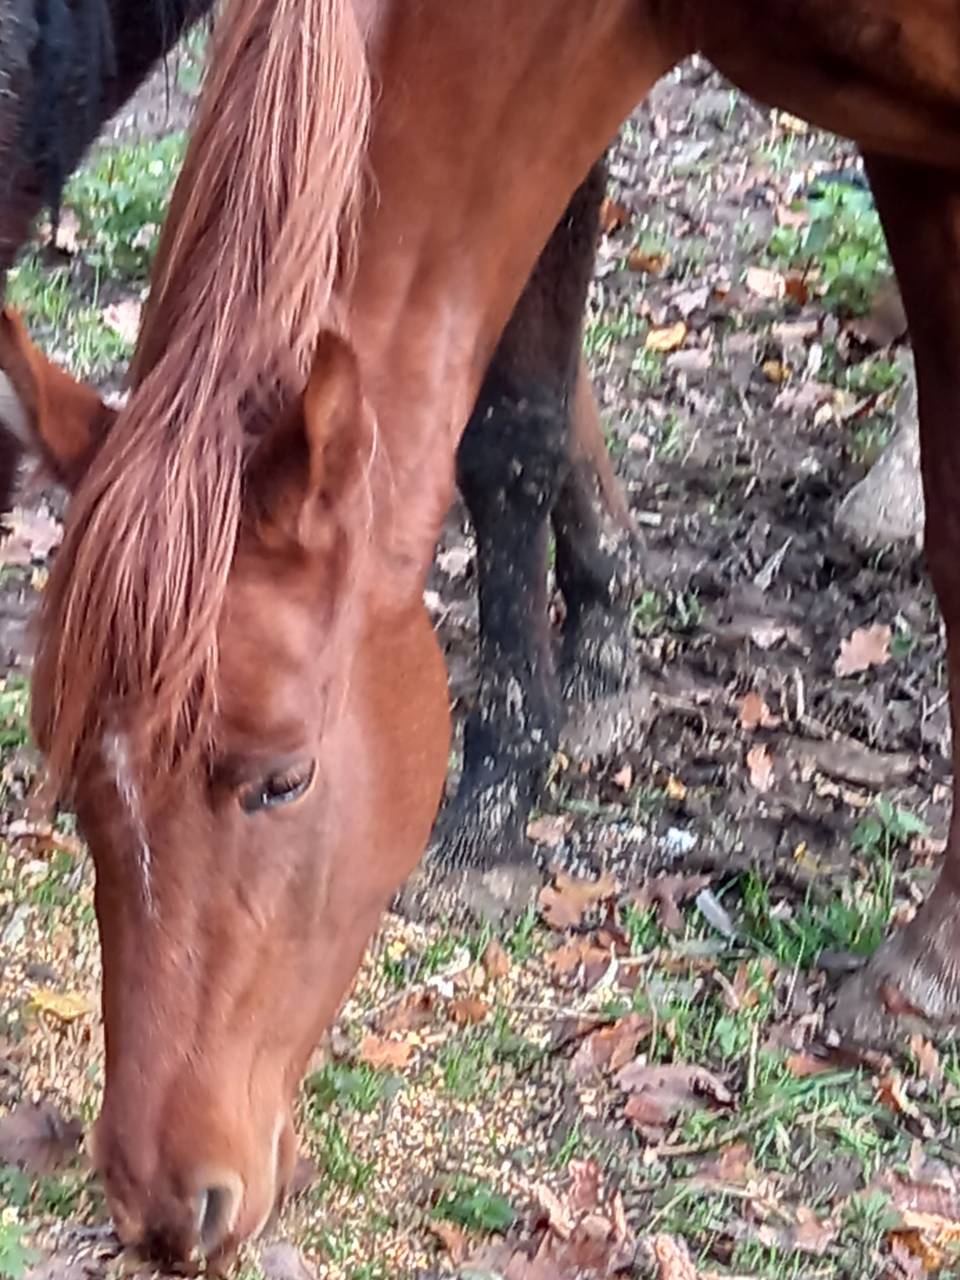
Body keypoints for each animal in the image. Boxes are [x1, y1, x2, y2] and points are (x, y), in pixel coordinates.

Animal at [2, 0, 959, 1264]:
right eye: (76, 787)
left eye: (283, 778)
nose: (161, 1205)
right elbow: (513, 427)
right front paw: (514, 775)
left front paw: (924, 967)